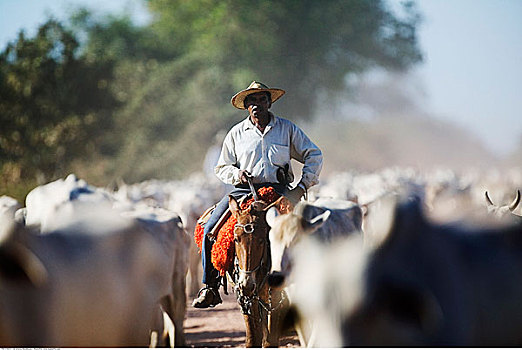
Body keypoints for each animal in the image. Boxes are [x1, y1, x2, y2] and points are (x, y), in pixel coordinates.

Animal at [228, 194, 286, 348]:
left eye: (262, 240)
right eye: (236, 239)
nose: (247, 285)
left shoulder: (275, 298)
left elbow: (270, 341)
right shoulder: (245, 298)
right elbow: (253, 339)